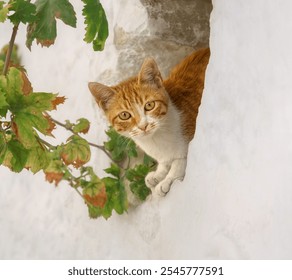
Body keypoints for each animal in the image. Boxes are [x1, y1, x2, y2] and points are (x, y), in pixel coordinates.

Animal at [89, 47, 210, 197]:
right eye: (124, 115)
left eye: (149, 105)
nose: (143, 126)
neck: (156, 141)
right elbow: (166, 163)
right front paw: (159, 174)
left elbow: (180, 161)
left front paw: (168, 179)